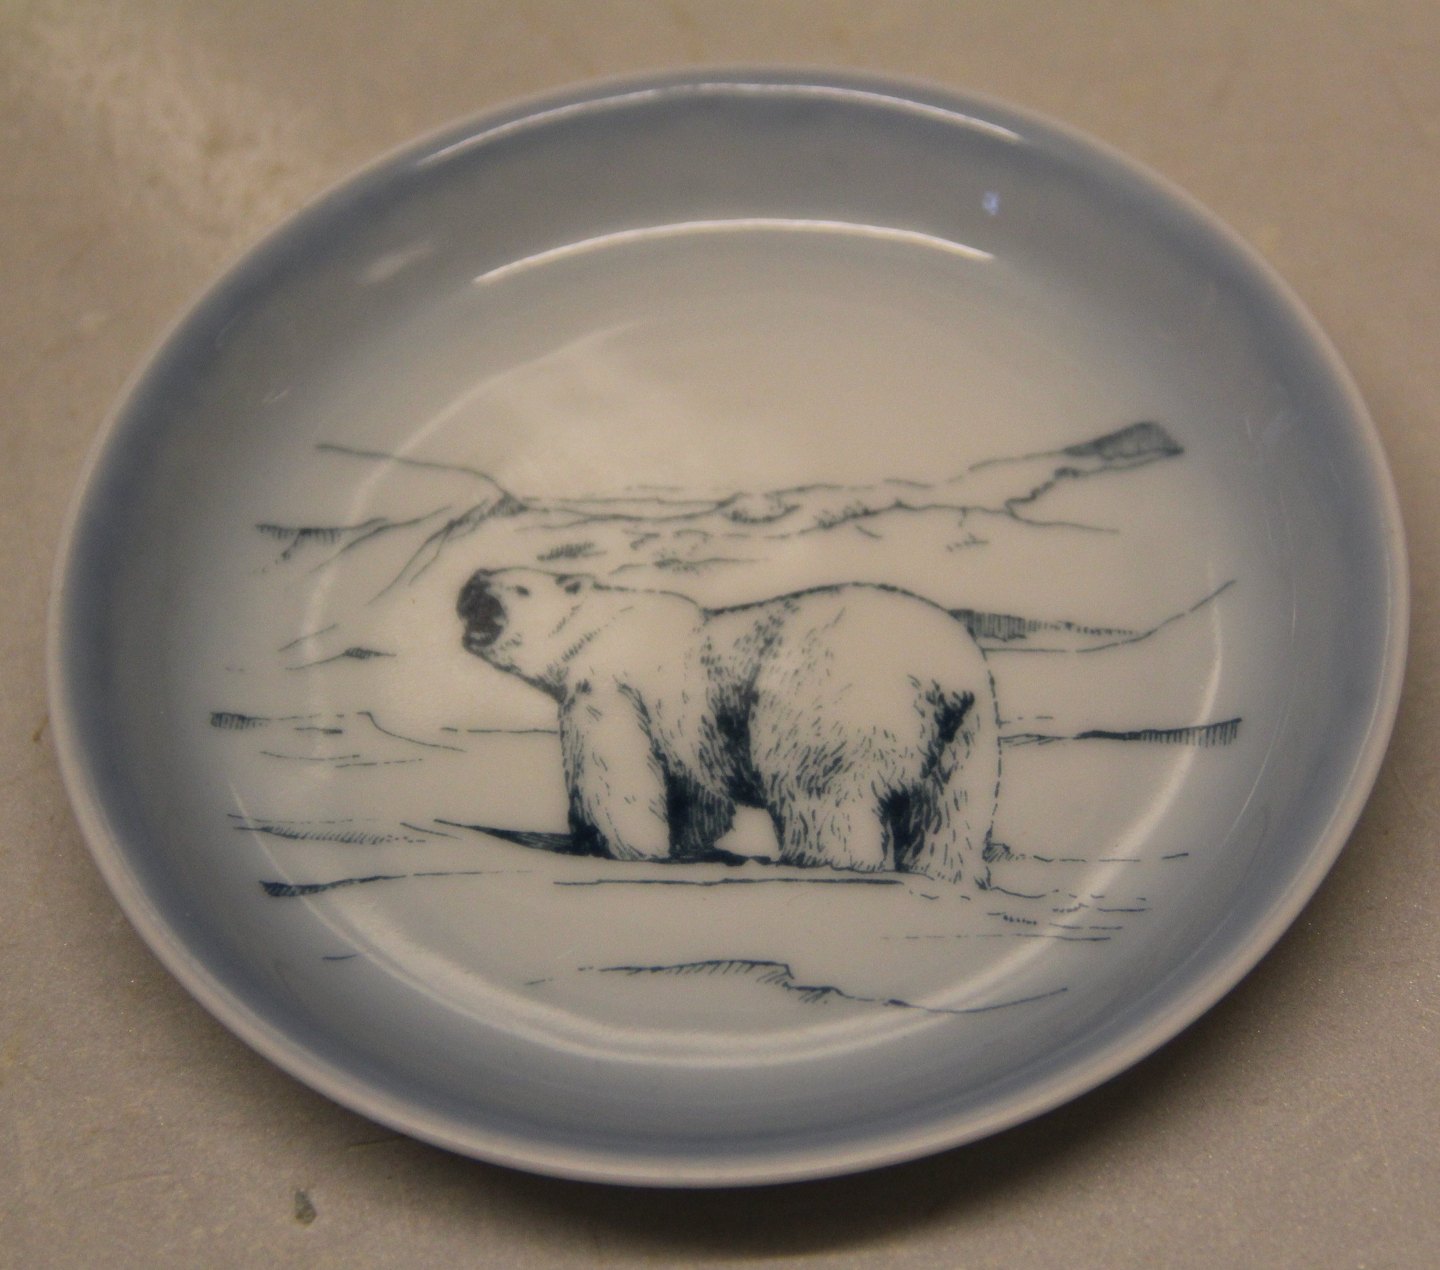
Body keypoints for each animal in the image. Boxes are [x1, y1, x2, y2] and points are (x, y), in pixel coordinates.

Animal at [456, 568, 1000, 885]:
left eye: (518, 587)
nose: (472, 586)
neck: (602, 625)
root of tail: (941, 675)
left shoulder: (608, 685)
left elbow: (615, 768)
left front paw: (623, 846)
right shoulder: (686, 722)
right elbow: (691, 787)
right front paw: (687, 840)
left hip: (835, 707)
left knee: (821, 792)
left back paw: (828, 860)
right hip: (972, 732)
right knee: (952, 807)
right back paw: (944, 871)